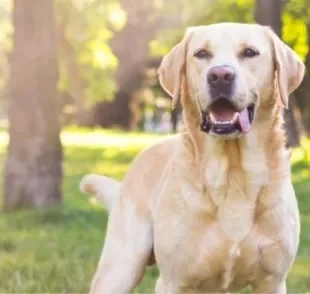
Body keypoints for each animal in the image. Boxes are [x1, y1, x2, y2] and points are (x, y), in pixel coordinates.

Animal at [80, 21, 306, 292]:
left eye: (249, 52)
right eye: (201, 54)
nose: (220, 75)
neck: (232, 173)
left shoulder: (272, 281)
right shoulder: (173, 281)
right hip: (121, 268)